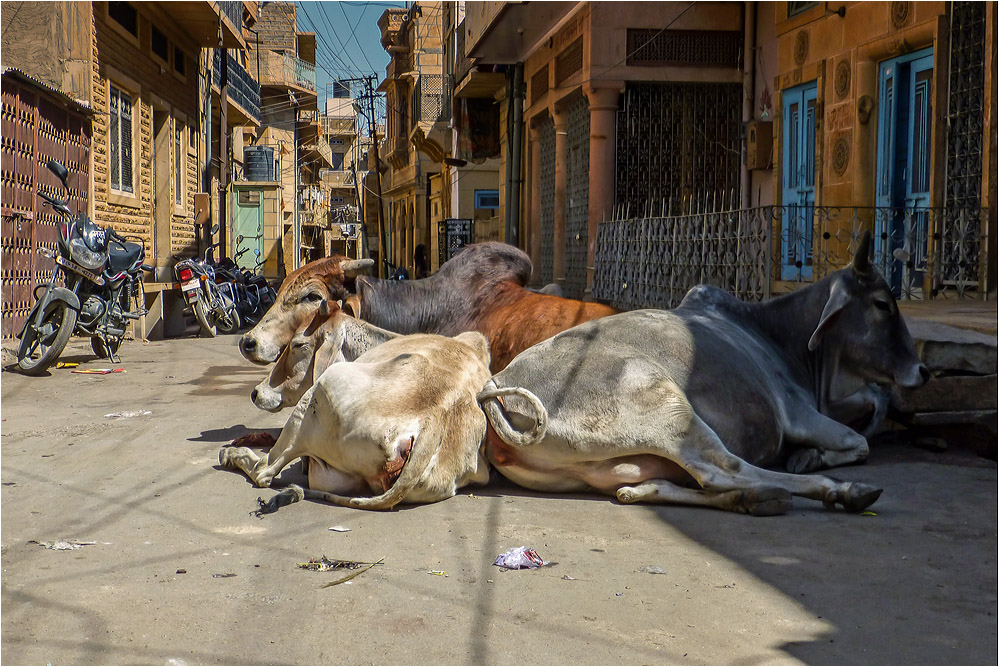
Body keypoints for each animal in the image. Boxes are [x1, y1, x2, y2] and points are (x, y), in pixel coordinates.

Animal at [219, 330, 500, 512]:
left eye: (298, 346)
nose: (256, 392)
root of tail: (434, 418)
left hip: (320, 392)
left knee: (265, 471)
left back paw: (231, 455)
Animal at [478, 235, 928, 516]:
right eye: (883, 303)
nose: (921, 369)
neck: (776, 336)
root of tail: (495, 387)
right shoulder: (799, 414)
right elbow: (859, 443)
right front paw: (813, 459)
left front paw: (809, 457)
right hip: (666, 407)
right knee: (722, 470)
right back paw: (836, 491)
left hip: (604, 467)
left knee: (665, 484)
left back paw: (751, 498)